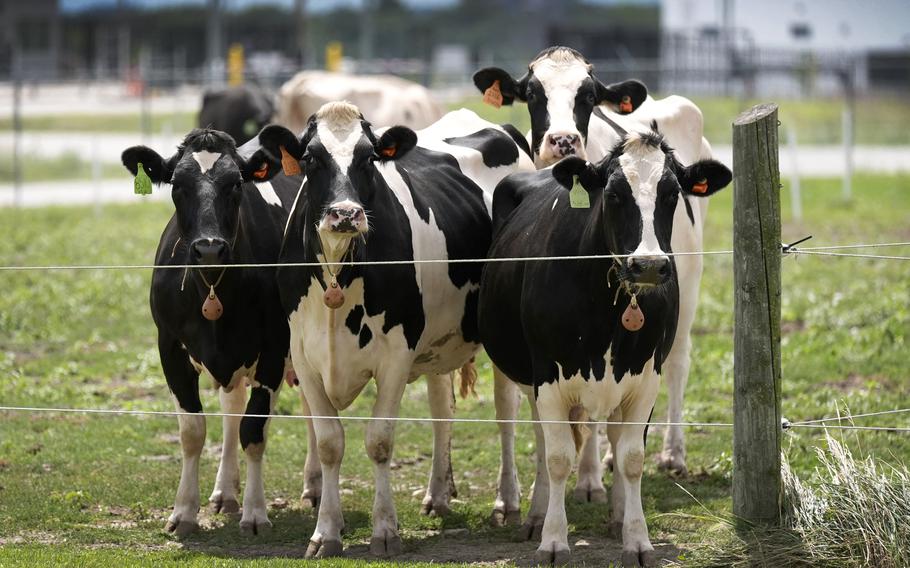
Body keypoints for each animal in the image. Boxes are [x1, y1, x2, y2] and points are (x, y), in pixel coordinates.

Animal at [276, 100, 536, 556]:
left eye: (369, 158)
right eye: (310, 158)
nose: (345, 214)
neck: (339, 271)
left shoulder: (396, 355)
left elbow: (379, 441)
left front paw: (384, 530)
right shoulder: (305, 357)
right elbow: (329, 443)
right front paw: (326, 532)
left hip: (500, 332)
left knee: (506, 413)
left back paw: (506, 502)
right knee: (441, 410)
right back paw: (438, 495)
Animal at [478, 47, 720, 492]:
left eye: (588, 96)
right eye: (532, 93)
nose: (563, 140)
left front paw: (590, 478)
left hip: (691, 280)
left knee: (678, 362)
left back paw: (672, 453)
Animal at [478, 132, 732, 564]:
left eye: (671, 194)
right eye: (613, 194)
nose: (648, 265)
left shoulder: (646, 378)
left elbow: (631, 457)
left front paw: (637, 538)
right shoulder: (548, 375)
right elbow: (558, 457)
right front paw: (553, 540)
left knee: (609, 435)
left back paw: (615, 515)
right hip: (525, 375)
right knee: (541, 437)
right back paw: (535, 515)